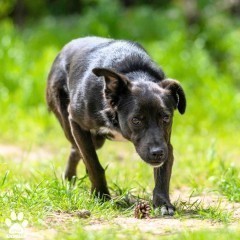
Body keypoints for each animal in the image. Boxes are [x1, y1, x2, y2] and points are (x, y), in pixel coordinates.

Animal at [46, 37, 186, 216]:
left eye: (166, 118)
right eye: (136, 120)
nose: (157, 153)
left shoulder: (166, 143)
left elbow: (163, 173)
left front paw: (162, 204)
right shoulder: (76, 122)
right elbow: (94, 165)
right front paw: (100, 196)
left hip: (96, 140)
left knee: (75, 150)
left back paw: (70, 179)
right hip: (71, 126)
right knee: (78, 149)